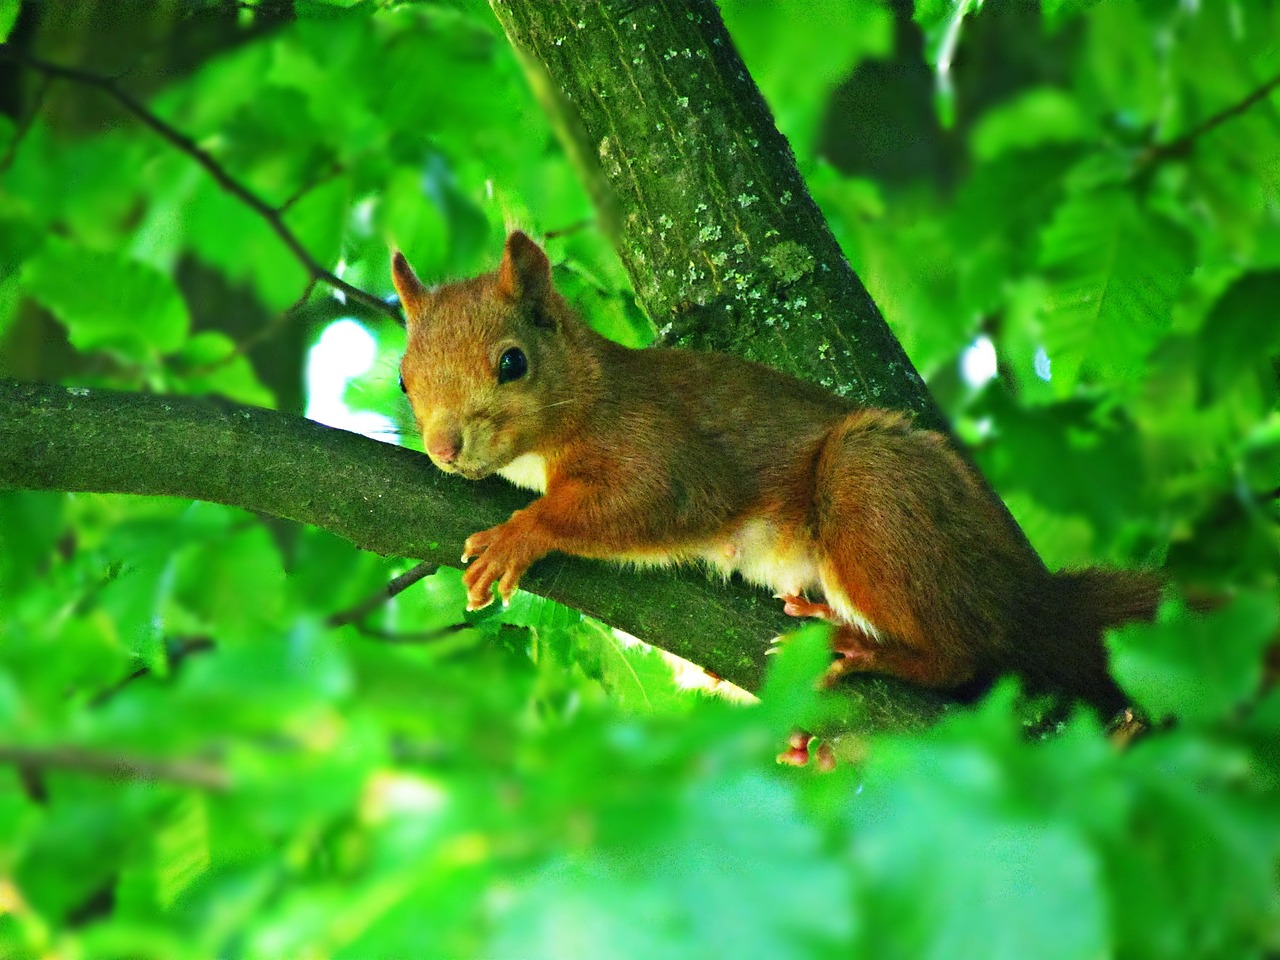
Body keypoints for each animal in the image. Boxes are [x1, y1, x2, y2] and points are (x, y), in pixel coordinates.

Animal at [389, 232, 1162, 716]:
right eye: (402, 380)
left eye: (512, 362)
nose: (445, 447)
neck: (587, 391)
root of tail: (1034, 596)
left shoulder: (661, 448)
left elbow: (641, 498)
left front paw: (519, 534)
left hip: (875, 496)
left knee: (965, 654)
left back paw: (870, 650)